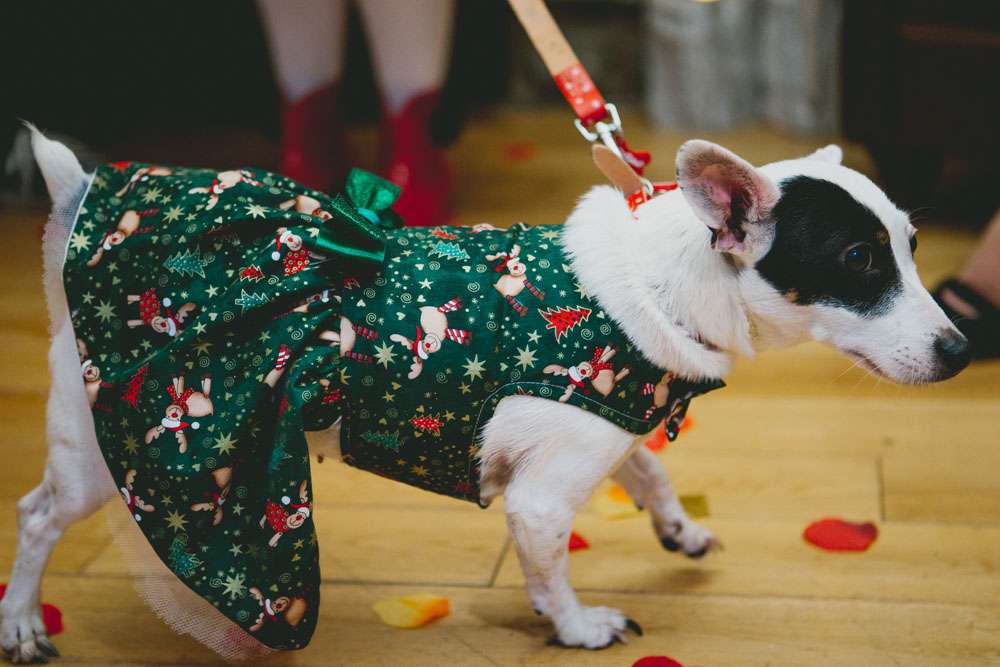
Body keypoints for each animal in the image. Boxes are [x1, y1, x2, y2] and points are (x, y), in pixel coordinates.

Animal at [0, 129, 968, 664]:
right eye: (859, 261)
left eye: (913, 246)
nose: (961, 348)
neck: (657, 283)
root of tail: (80, 206)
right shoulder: (544, 498)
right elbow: (554, 567)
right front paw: (576, 626)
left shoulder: (607, 429)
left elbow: (649, 471)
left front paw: (676, 527)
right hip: (99, 452)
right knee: (38, 515)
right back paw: (21, 622)